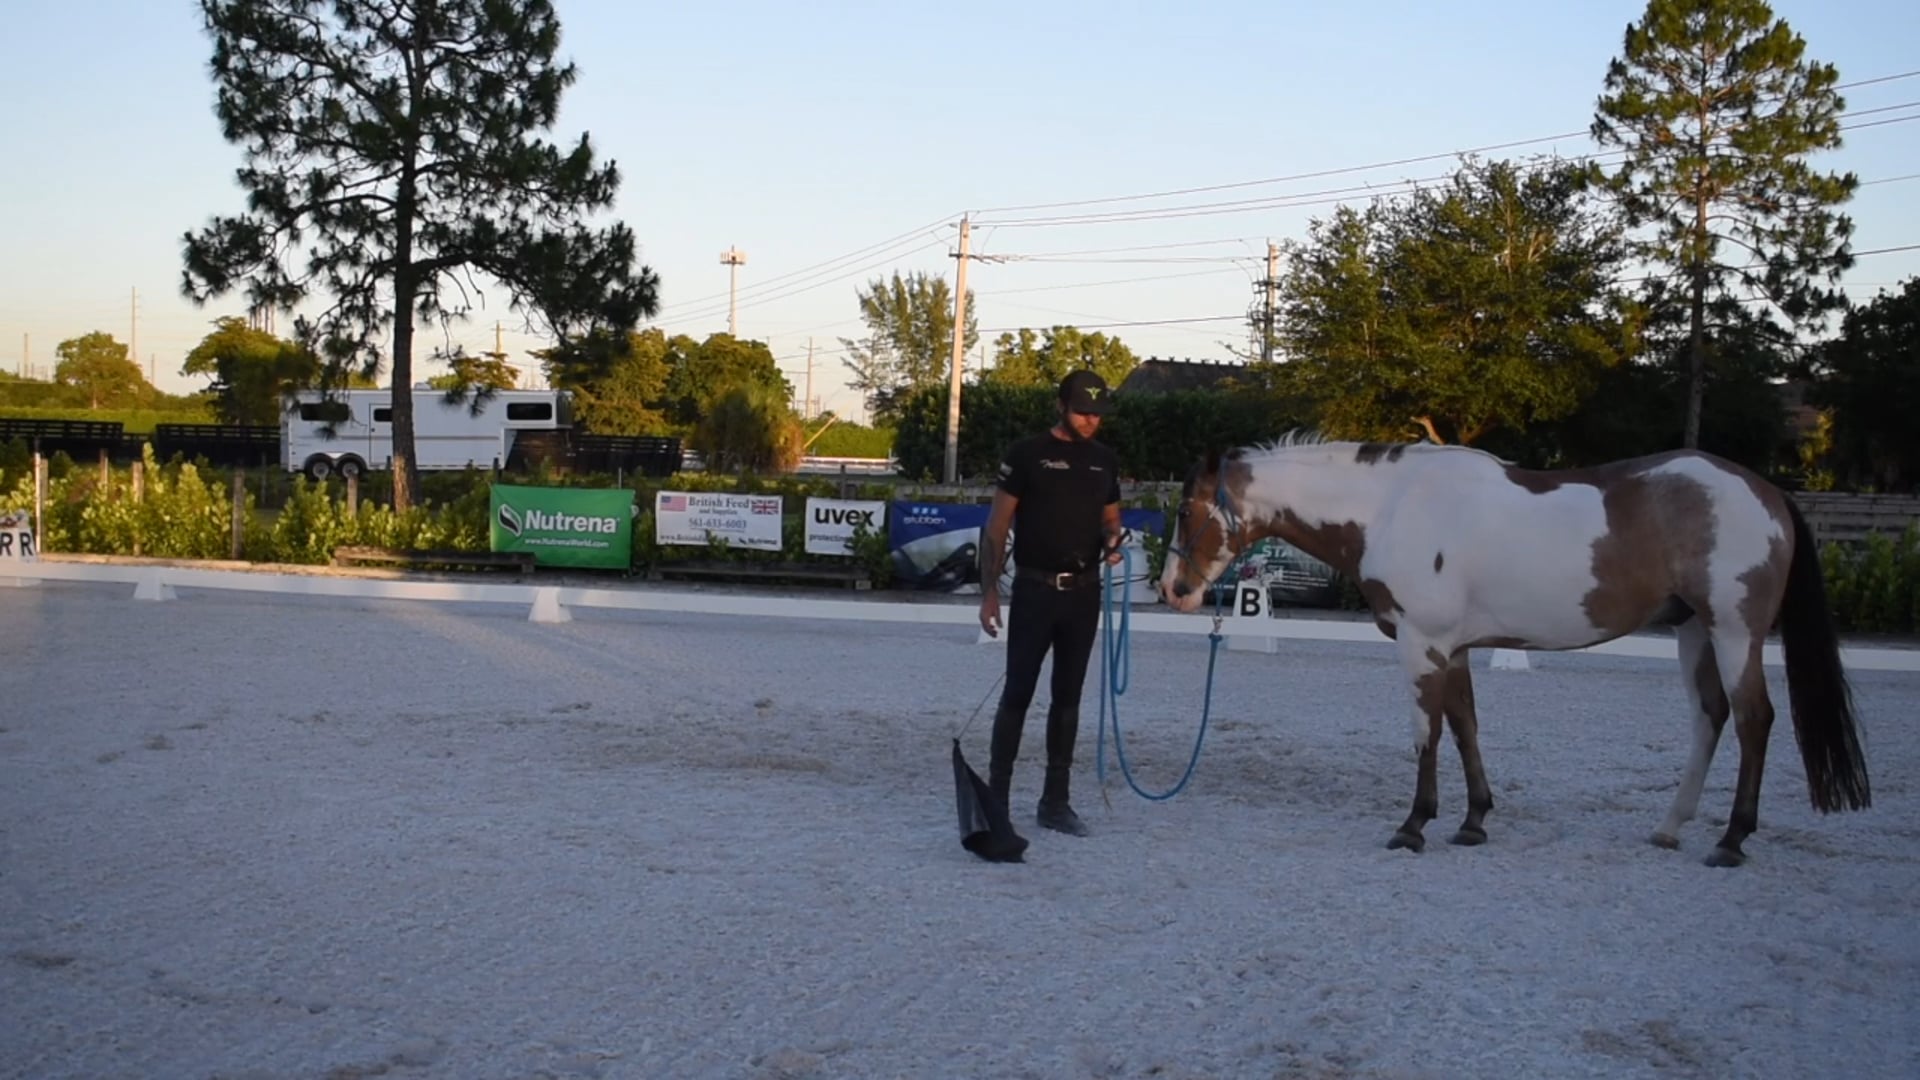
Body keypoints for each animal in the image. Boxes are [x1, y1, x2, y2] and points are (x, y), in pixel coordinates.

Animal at [1157, 434, 1871, 867]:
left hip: (1732, 630)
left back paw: (1730, 838)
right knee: (1710, 717)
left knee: (1753, 720)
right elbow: (1466, 727)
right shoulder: (1454, 647)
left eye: (1188, 510)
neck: (1390, 507)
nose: (1172, 590)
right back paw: (1672, 826)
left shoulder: (1421, 644)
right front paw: (1474, 821)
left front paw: (1414, 825)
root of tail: (1769, 492)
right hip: (1694, 630)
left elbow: (1426, 734)